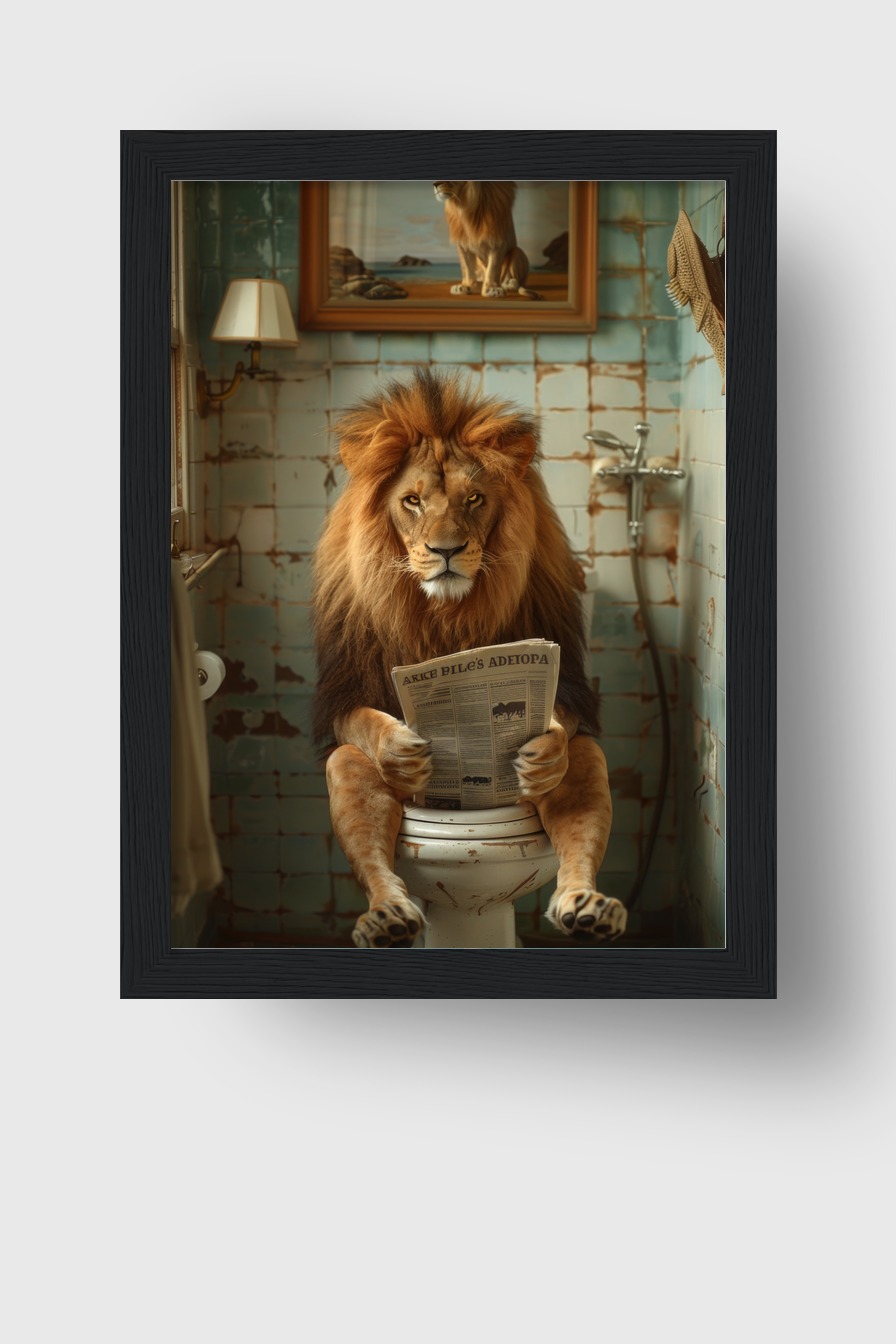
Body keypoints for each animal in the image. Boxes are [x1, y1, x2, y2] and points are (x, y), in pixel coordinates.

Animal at [311, 367, 625, 948]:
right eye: (412, 501)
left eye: (474, 498)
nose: (446, 550)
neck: (445, 615)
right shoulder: (346, 685)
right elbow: (365, 722)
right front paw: (399, 750)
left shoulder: (564, 670)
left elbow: (563, 721)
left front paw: (543, 751)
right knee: (353, 779)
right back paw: (387, 919)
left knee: (583, 762)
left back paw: (587, 909)